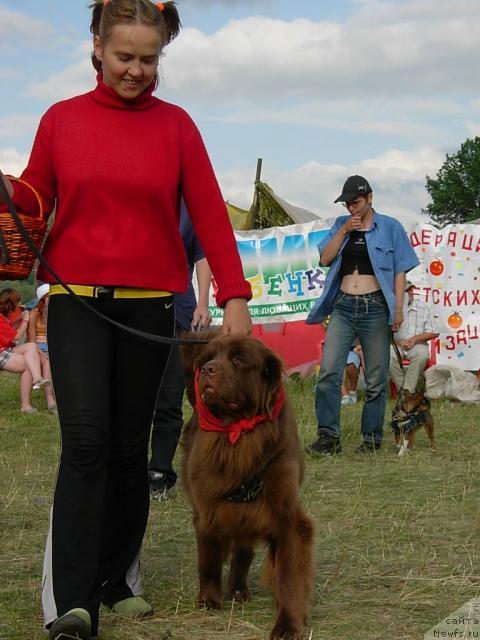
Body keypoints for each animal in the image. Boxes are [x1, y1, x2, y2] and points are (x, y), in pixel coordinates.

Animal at [180, 332, 316, 636]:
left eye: (240, 359)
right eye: (208, 359)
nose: (207, 370)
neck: (238, 435)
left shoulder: (286, 515)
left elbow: (289, 575)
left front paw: (288, 624)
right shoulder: (208, 508)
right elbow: (208, 559)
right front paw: (208, 599)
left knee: (243, 551)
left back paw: (239, 590)